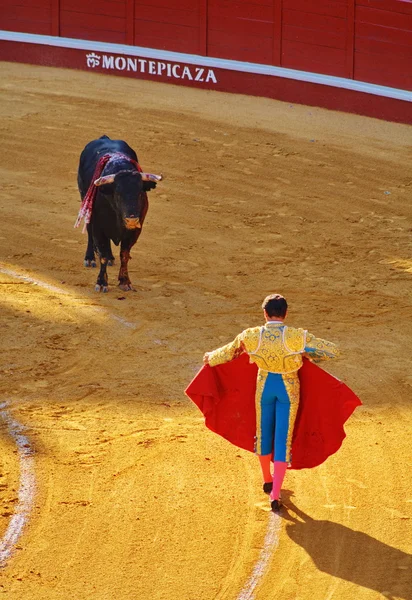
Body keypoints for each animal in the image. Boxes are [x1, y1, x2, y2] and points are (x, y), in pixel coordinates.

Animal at [76, 137, 162, 296]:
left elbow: (124, 255)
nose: (132, 220)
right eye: (118, 193)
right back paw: (90, 258)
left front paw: (125, 282)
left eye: (140, 193)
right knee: (89, 233)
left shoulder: (135, 231)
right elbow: (102, 254)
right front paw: (101, 283)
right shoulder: (98, 228)